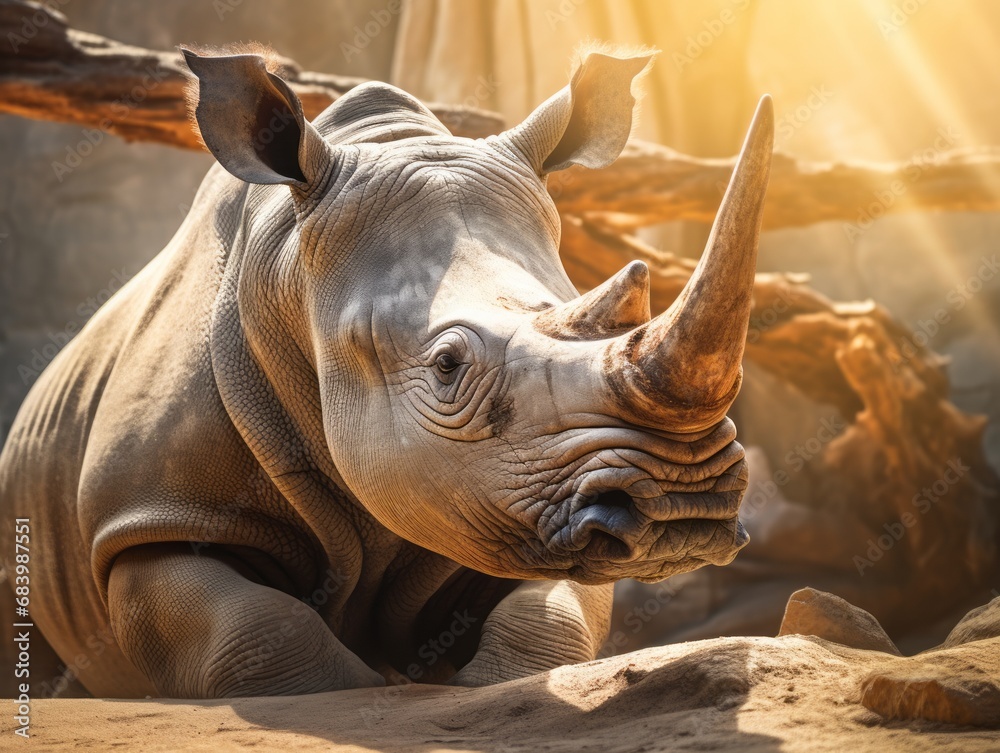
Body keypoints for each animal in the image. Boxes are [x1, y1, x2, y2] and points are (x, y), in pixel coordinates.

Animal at [0, 46, 772, 698]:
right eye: (448, 364)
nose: (683, 504)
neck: (290, 272)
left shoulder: (502, 498)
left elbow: (549, 618)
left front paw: (474, 682)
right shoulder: (152, 517)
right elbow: (256, 630)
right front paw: (359, 687)